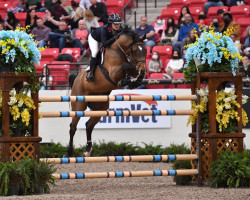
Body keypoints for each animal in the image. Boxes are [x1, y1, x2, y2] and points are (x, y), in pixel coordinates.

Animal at [67, 25, 147, 156]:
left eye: (145, 50)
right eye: (135, 50)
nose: (143, 67)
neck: (120, 51)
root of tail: (76, 79)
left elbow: (132, 69)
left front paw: (135, 80)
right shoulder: (113, 73)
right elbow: (126, 66)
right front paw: (125, 81)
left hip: (100, 108)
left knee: (89, 125)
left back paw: (88, 150)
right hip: (79, 105)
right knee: (73, 127)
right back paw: (69, 153)